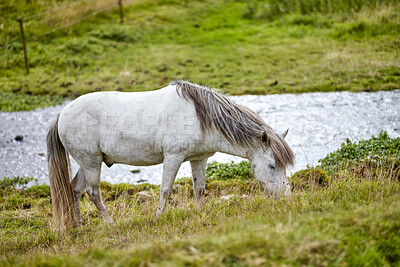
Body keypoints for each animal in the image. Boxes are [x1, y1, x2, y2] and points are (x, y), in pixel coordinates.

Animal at [47, 80, 294, 229]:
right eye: (272, 166)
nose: (286, 199)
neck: (199, 116)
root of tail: (62, 114)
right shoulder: (173, 157)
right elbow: (165, 189)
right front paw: (158, 217)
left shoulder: (199, 158)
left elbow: (199, 188)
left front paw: (200, 213)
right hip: (91, 162)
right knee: (93, 192)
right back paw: (110, 223)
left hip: (88, 162)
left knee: (75, 189)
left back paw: (78, 225)